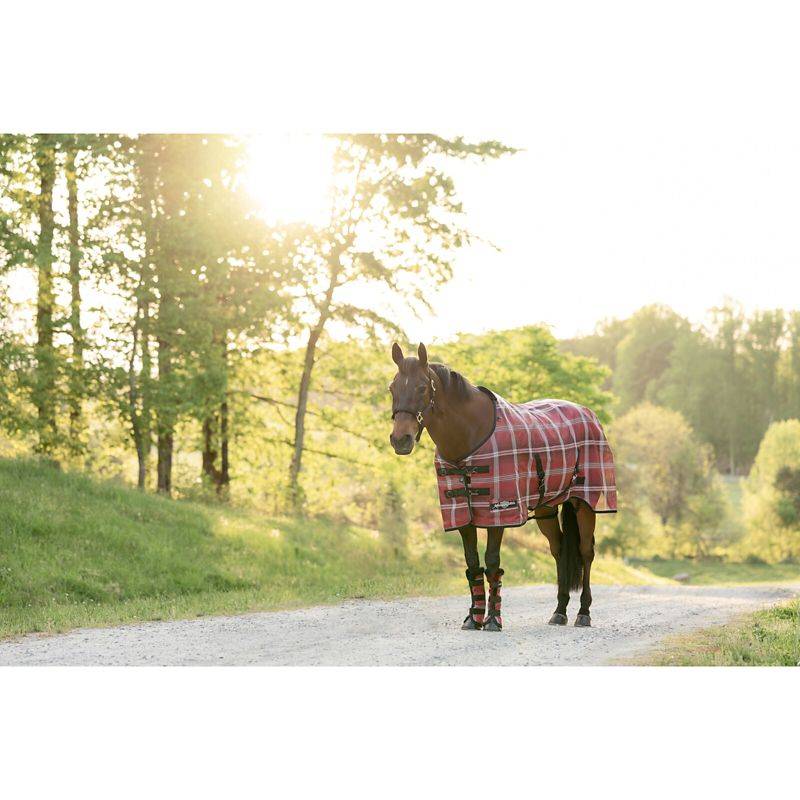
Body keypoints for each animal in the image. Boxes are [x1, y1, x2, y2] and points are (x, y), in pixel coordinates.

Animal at [388, 342, 617, 631]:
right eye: (392, 387)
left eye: (421, 387)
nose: (400, 439)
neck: (469, 435)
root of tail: (588, 414)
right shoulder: (461, 511)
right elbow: (472, 563)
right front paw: (473, 617)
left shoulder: (498, 511)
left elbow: (492, 562)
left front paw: (493, 620)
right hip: (545, 509)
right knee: (558, 550)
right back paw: (559, 611)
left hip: (583, 502)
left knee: (586, 552)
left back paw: (583, 613)